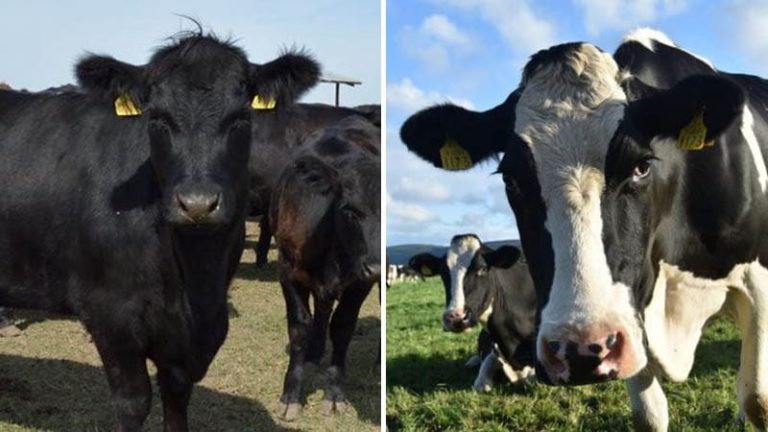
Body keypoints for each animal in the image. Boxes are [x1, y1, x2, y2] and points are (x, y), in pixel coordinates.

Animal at [0, 31, 319, 431]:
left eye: (241, 118)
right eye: (157, 118)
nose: (197, 204)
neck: (196, 283)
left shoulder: (191, 340)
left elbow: (177, 400)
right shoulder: (111, 317)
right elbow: (134, 402)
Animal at [270, 115, 380, 420]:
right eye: (350, 210)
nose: (377, 266)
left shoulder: (360, 281)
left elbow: (342, 326)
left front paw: (334, 392)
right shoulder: (287, 270)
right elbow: (299, 326)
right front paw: (291, 395)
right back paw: (314, 351)